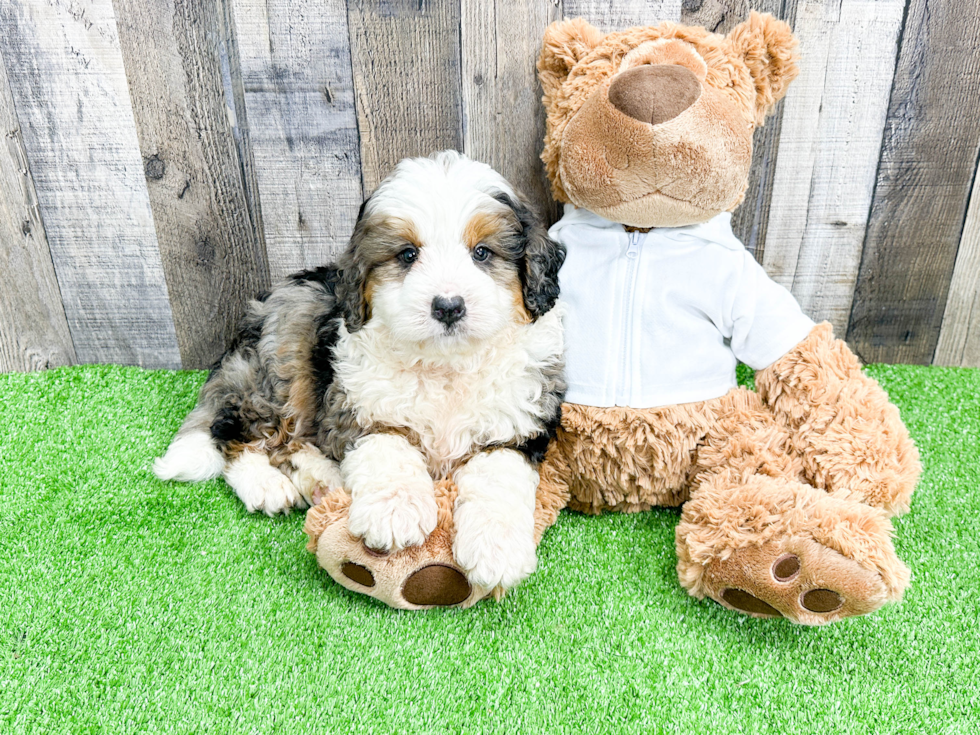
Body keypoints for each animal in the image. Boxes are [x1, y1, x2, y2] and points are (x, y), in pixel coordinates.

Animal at [153, 151, 568, 592]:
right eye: (407, 255)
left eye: (483, 253)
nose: (448, 306)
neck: (445, 364)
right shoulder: (358, 408)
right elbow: (388, 449)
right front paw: (394, 512)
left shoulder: (519, 427)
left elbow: (498, 477)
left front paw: (496, 548)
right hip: (285, 356)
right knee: (233, 429)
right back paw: (267, 485)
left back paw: (320, 477)